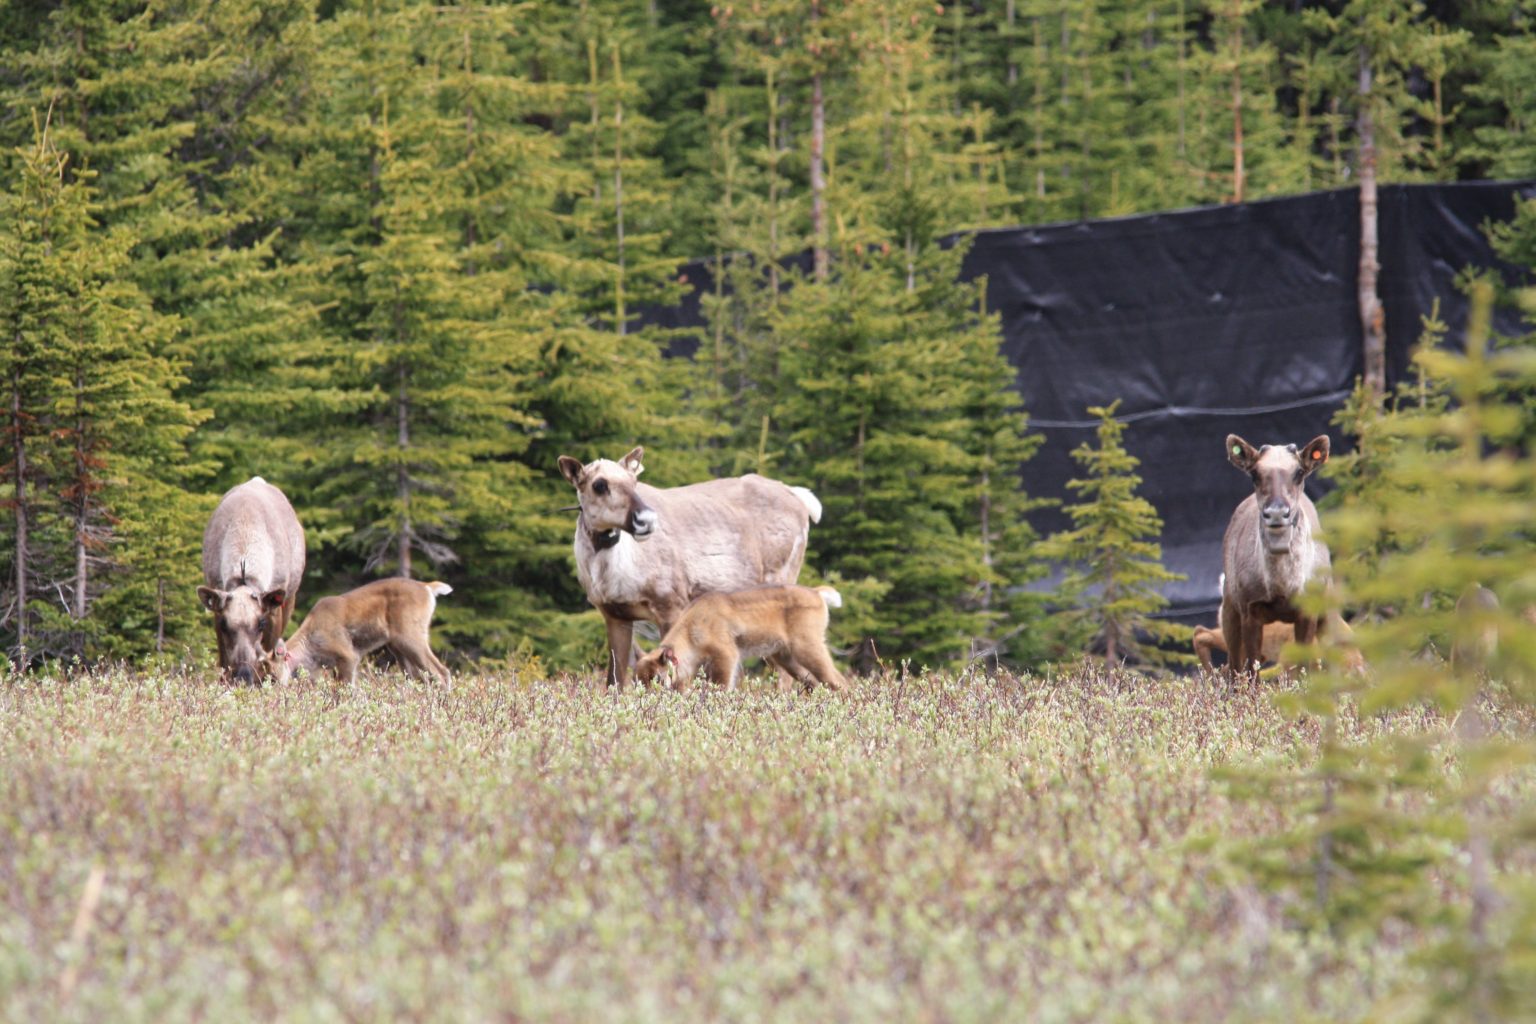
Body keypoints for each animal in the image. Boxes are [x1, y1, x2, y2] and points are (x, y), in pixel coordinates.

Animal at [276, 580, 448, 684]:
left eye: (272, 673)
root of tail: (428, 588)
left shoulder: (348, 655)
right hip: (397, 646)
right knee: (418, 679)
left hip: (409, 635)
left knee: (442, 672)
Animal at [635, 589, 854, 693]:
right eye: (638, 680)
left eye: (657, 678)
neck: (690, 629)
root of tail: (818, 593)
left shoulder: (726, 654)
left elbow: (722, 684)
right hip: (786, 657)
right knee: (815, 682)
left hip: (807, 647)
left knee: (838, 680)